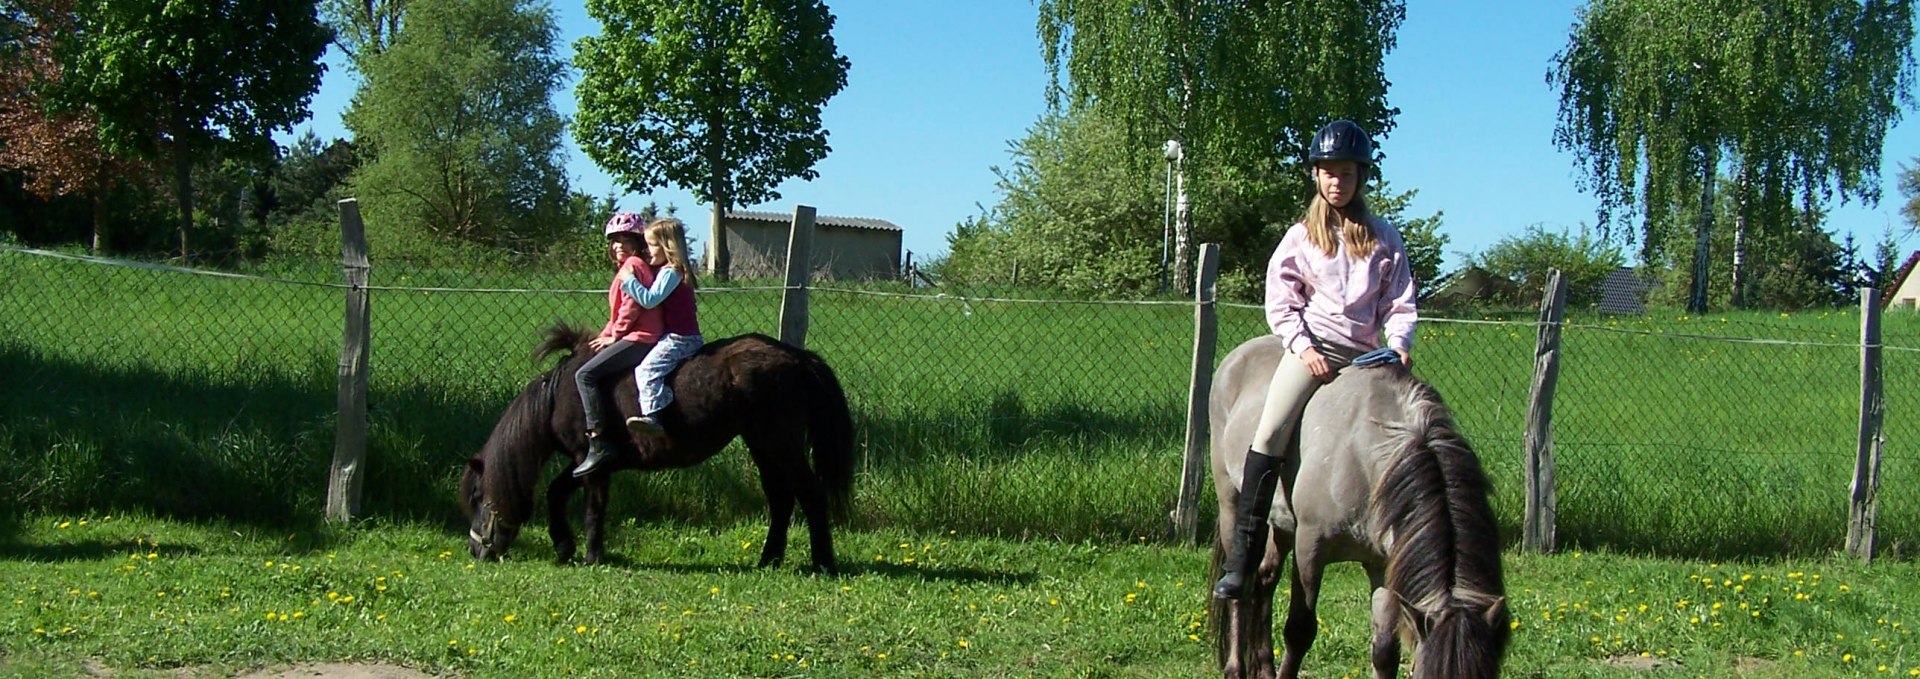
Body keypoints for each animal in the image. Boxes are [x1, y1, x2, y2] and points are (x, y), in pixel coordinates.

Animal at [460, 326, 852, 571]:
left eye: (478, 498)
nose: (475, 549)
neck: (561, 394)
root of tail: (799, 358)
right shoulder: (586, 462)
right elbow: (556, 493)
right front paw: (564, 546)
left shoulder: (593, 464)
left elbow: (593, 510)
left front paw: (591, 556)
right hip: (763, 444)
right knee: (781, 498)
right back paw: (768, 560)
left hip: (779, 442)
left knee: (810, 494)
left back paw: (823, 563)